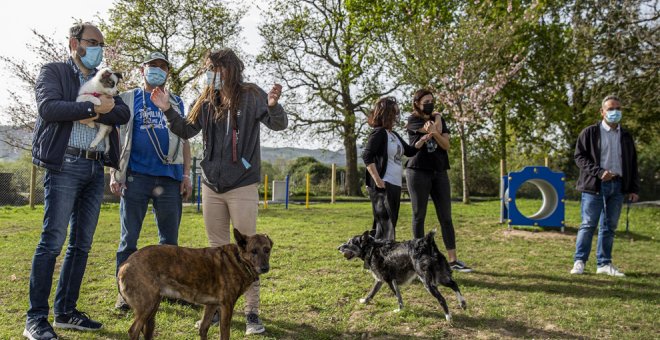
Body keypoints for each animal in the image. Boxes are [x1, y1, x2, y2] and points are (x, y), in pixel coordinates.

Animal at [117, 228, 272, 340]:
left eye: (267, 250)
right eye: (253, 251)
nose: (265, 268)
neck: (239, 260)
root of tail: (125, 264)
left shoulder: (211, 305)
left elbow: (203, 329)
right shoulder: (227, 306)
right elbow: (224, 334)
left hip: (153, 307)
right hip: (147, 307)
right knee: (133, 331)